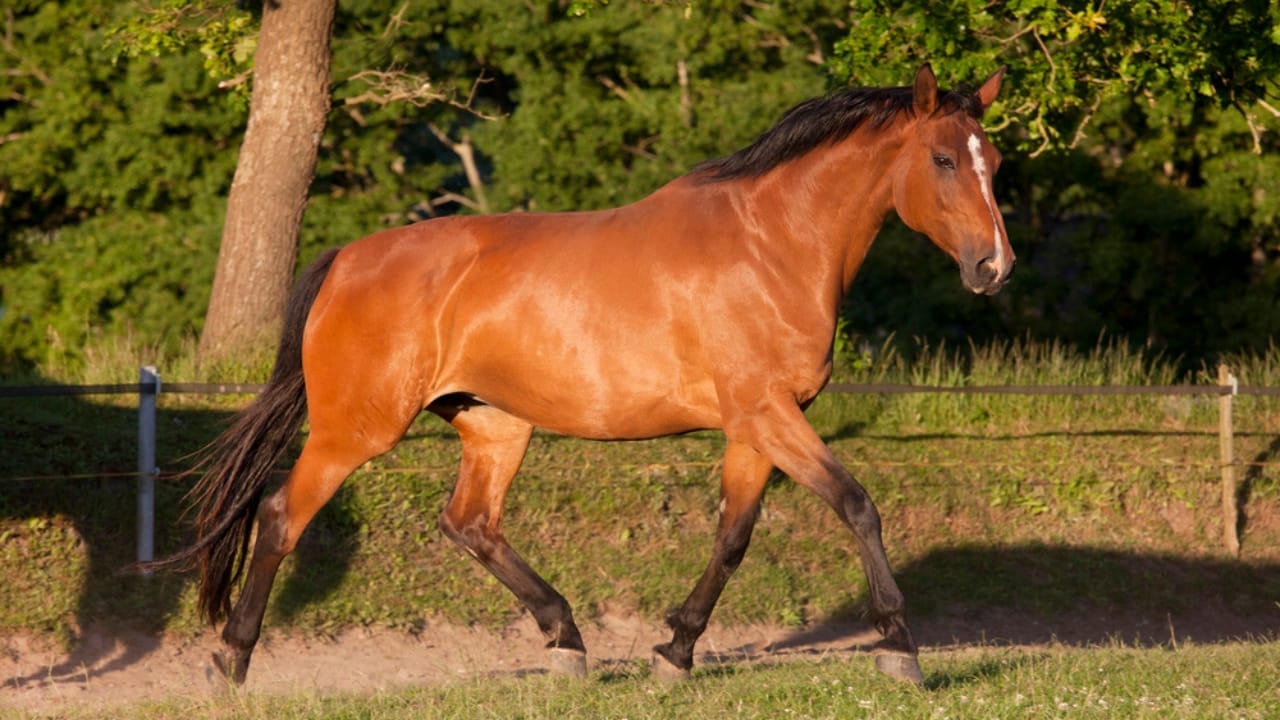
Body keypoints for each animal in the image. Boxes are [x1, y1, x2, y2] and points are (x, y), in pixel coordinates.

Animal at [148, 63, 1012, 687]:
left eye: (995, 161)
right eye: (942, 159)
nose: (993, 267)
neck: (770, 246)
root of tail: (348, 259)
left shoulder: (755, 426)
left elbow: (733, 536)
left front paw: (675, 653)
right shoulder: (769, 415)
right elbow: (857, 505)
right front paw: (900, 648)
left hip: (495, 425)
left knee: (470, 523)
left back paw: (568, 641)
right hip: (353, 430)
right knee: (280, 517)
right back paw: (231, 659)